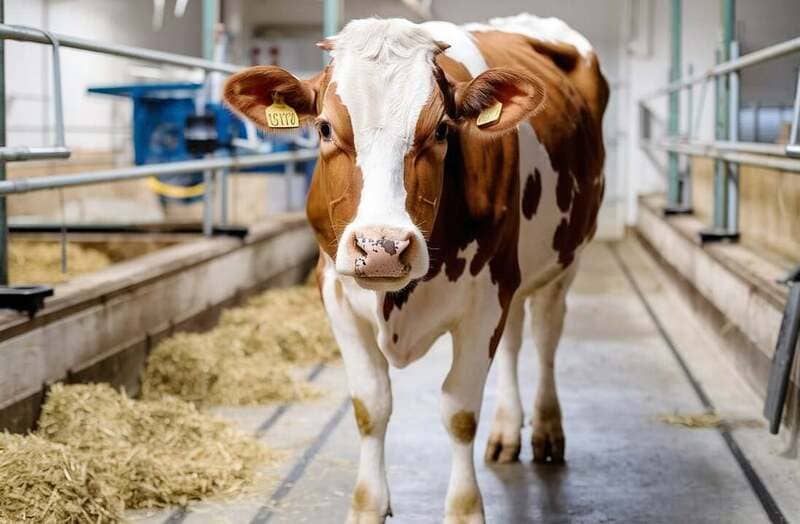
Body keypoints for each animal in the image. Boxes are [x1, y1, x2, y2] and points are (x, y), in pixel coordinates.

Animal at [224, 13, 607, 524]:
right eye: (324, 128)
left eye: (443, 130)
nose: (382, 247)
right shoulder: (336, 296)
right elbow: (371, 405)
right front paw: (367, 506)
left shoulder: (486, 299)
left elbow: (459, 411)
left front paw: (465, 510)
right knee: (514, 340)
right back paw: (508, 431)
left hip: (565, 259)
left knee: (546, 335)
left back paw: (547, 430)